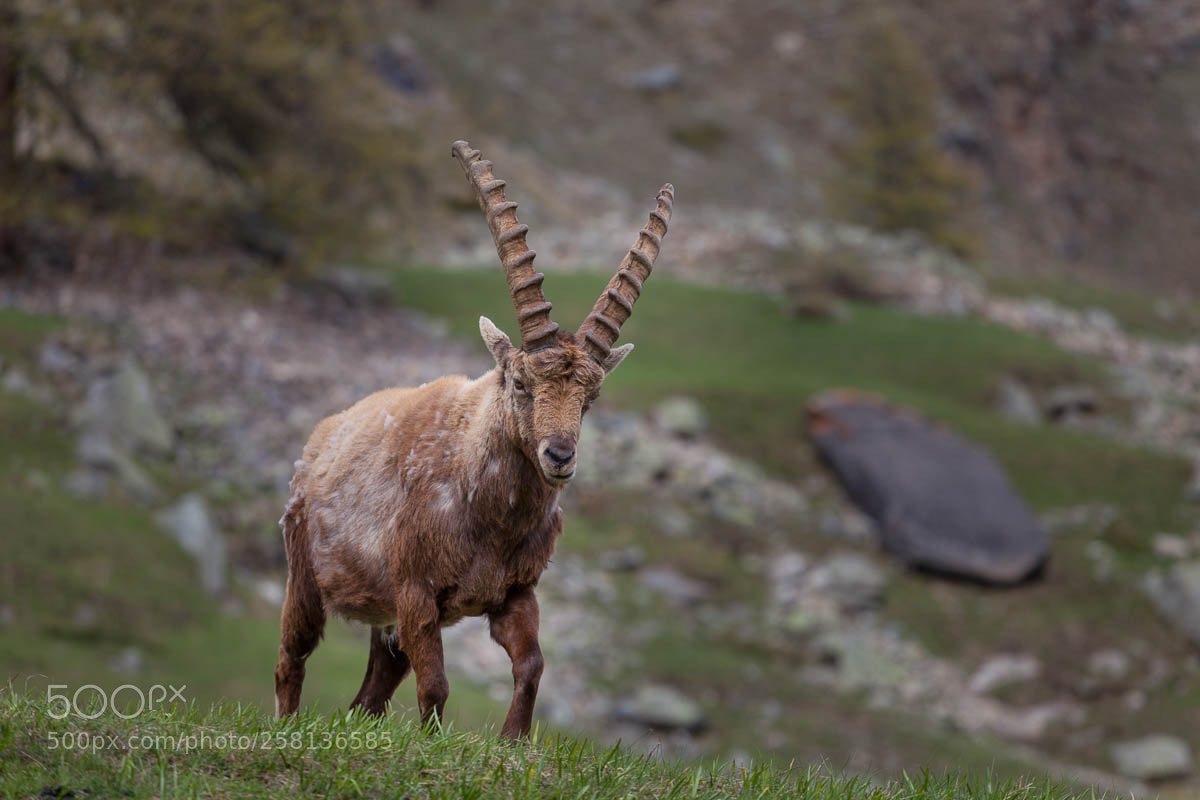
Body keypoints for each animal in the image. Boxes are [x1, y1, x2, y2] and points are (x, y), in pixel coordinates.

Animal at [274, 140, 674, 738]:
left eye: (592, 396)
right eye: (520, 381)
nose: (560, 456)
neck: (486, 513)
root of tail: (321, 438)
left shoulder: (514, 593)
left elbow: (532, 666)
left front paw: (512, 742)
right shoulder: (416, 594)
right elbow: (436, 685)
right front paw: (430, 744)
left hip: (385, 623)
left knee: (367, 697)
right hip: (305, 574)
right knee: (291, 660)